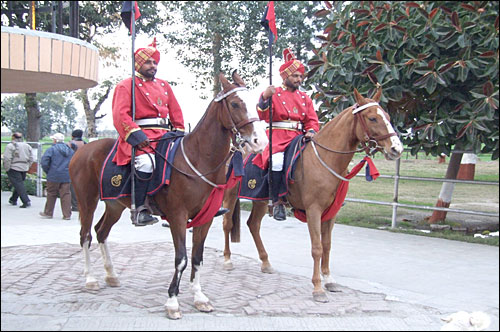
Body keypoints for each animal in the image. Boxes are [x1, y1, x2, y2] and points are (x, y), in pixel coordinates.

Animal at [70, 70, 270, 320]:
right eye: (235, 103)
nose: (260, 142)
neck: (198, 159)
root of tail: (82, 150)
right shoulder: (177, 217)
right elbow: (181, 258)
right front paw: (173, 301)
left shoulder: (204, 219)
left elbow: (197, 257)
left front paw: (199, 297)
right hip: (87, 201)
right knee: (85, 235)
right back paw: (90, 278)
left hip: (115, 205)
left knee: (101, 232)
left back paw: (111, 275)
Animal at [221, 88, 404, 304]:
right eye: (373, 118)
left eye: (388, 117)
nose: (397, 149)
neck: (325, 159)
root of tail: (235, 149)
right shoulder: (313, 211)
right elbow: (316, 248)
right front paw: (317, 288)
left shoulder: (331, 213)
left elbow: (327, 245)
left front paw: (329, 279)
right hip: (230, 195)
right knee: (227, 224)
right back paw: (227, 259)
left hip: (261, 199)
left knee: (253, 224)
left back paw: (266, 263)